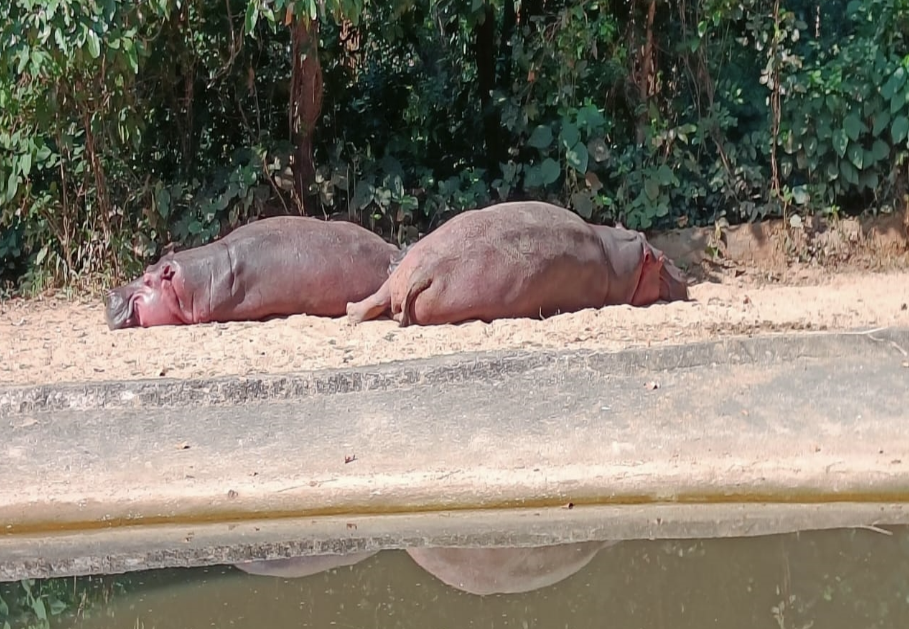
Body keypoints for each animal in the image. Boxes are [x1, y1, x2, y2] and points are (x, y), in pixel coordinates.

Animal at [348, 201, 688, 326]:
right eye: (662, 260)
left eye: (643, 234)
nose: (684, 273)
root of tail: (424, 271)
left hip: (403, 273)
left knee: (370, 301)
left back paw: (353, 313)